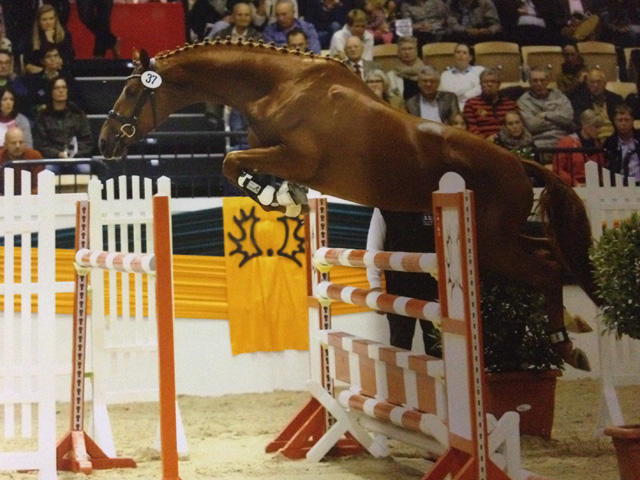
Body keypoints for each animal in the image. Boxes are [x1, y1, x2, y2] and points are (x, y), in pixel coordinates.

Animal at [99, 41, 596, 372]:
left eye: (130, 91)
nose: (104, 144)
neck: (278, 86)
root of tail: (519, 162)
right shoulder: (277, 155)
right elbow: (238, 165)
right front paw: (288, 199)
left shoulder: (296, 157)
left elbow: (230, 161)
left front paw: (277, 197)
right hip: (501, 238)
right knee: (549, 255)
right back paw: (567, 336)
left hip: (493, 243)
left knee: (548, 271)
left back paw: (566, 346)